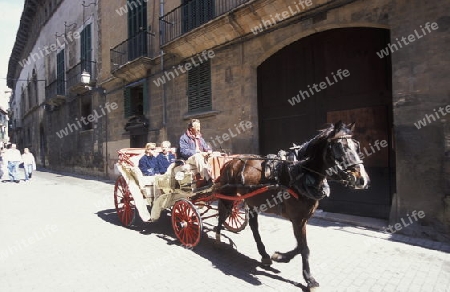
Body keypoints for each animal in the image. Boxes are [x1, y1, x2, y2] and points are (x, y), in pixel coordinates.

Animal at [214, 121, 370, 290]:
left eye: (357, 146)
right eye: (339, 147)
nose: (363, 180)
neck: (300, 174)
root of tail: (230, 161)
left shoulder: (303, 219)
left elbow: (300, 246)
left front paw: (280, 256)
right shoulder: (297, 219)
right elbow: (304, 248)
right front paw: (309, 279)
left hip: (252, 201)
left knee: (253, 226)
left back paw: (264, 255)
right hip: (228, 196)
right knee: (222, 214)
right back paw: (217, 238)